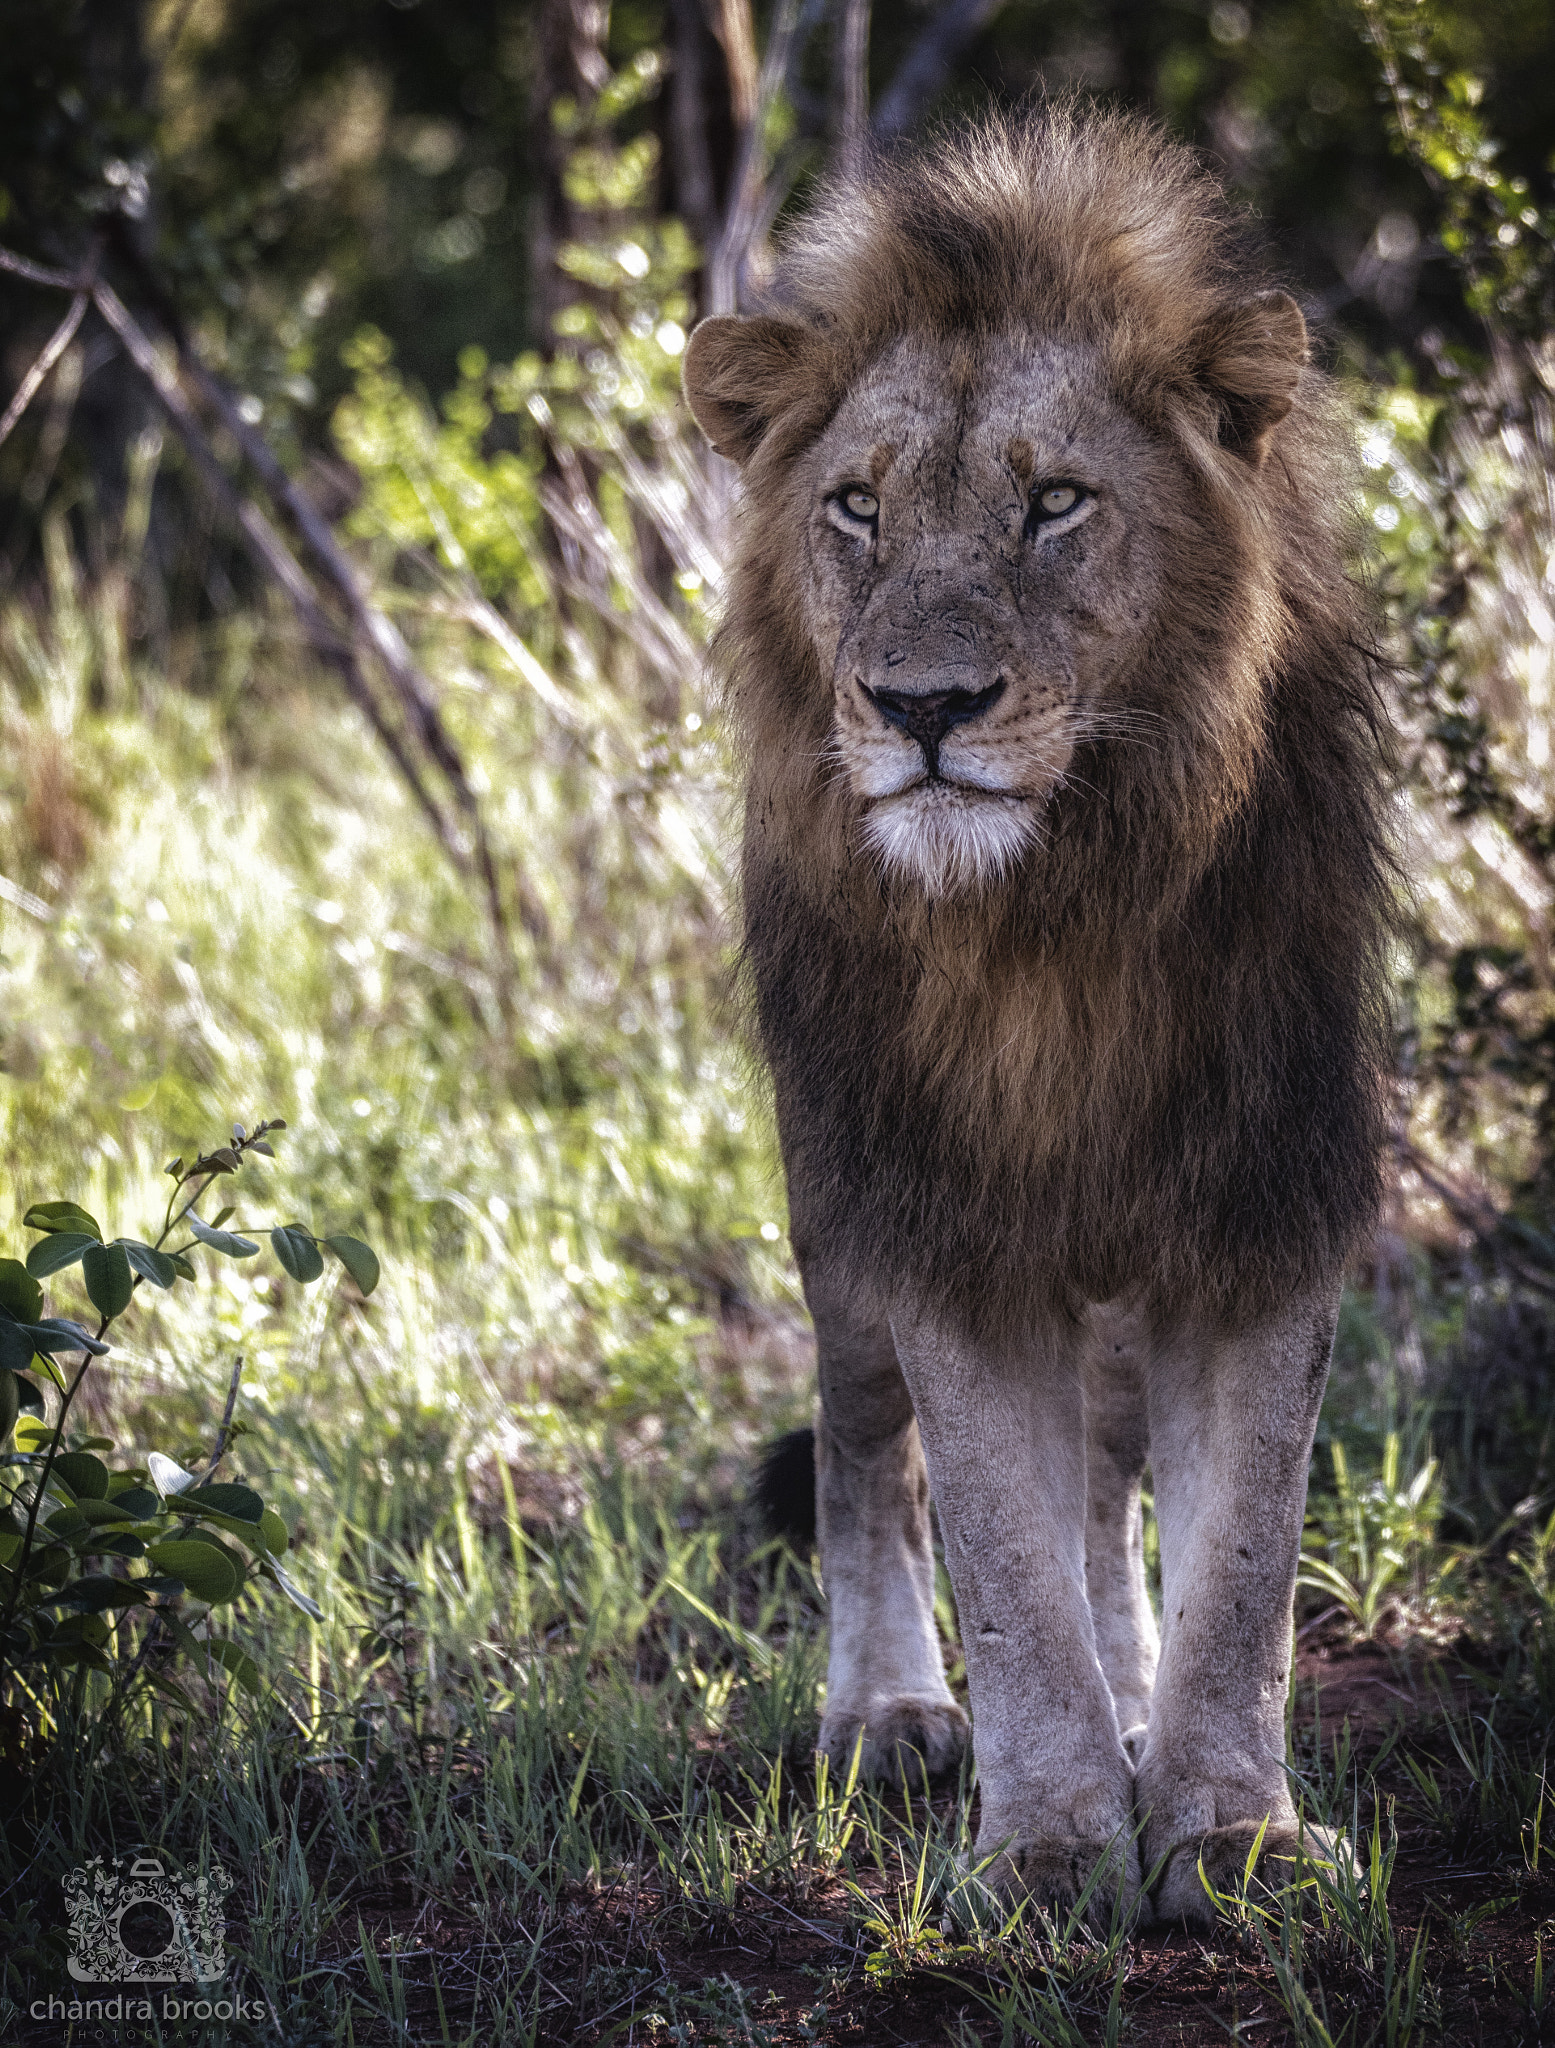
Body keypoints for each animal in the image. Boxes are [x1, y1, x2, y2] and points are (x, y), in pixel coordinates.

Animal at [682, 106, 1391, 1928]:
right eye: (856, 507)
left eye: (1055, 504)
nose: (922, 706)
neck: (1052, 920)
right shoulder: (941, 1220)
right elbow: (997, 1550)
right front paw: (1056, 1843)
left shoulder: (1258, 1200)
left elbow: (1238, 1559)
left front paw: (1228, 1827)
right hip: (829, 1188)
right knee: (867, 1446)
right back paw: (887, 1717)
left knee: (1104, 1476)